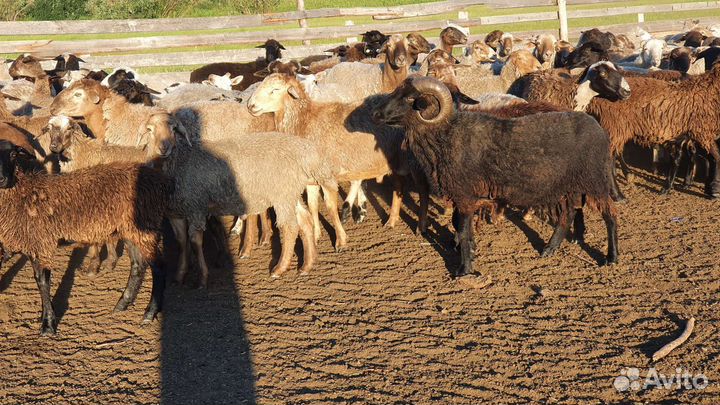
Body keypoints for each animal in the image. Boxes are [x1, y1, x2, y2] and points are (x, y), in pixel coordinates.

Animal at [0, 146, 171, 335]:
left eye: (13, 155)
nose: (2, 179)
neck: (21, 194)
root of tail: (161, 181)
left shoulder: (39, 243)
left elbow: (42, 281)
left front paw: (48, 324)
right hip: (130, 231)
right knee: (138, 266)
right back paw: (122, 304)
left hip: (145, 227)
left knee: (159, 268)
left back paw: (149, 313)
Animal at [247, 73, 407, 233]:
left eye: (275, 89)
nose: (250, 105)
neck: (304, 121)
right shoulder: (312, 177)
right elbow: (313, 206)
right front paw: (317, 233)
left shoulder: (325, 174)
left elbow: (330, 206)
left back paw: (389, 220)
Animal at [371, 76, 620, 276]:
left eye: (409, 98)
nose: (375, 114)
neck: (445, 135)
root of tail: (598, 127)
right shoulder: (463, 196)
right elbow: (460, 228)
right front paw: (468, 256)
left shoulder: (464, 195)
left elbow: (463, 230)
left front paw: (464, 270)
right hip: (565, 185)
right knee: (568, 214)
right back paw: (549, 249)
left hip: (595, 179)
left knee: (609, 215)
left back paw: (611, 257)